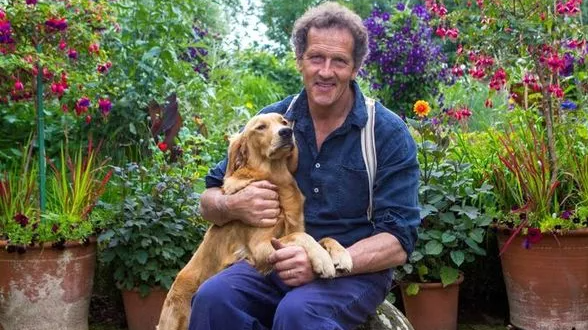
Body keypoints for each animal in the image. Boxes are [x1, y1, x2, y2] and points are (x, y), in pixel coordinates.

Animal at [154, 112, 354, 328]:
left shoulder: (293, 228)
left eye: (284, 122)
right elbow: (301, 237)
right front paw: (322, 258)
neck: (276, 178)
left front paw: (341, 254)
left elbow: (324, 238)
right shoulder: (260, 247)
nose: (286, 132)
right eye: (260, 127)